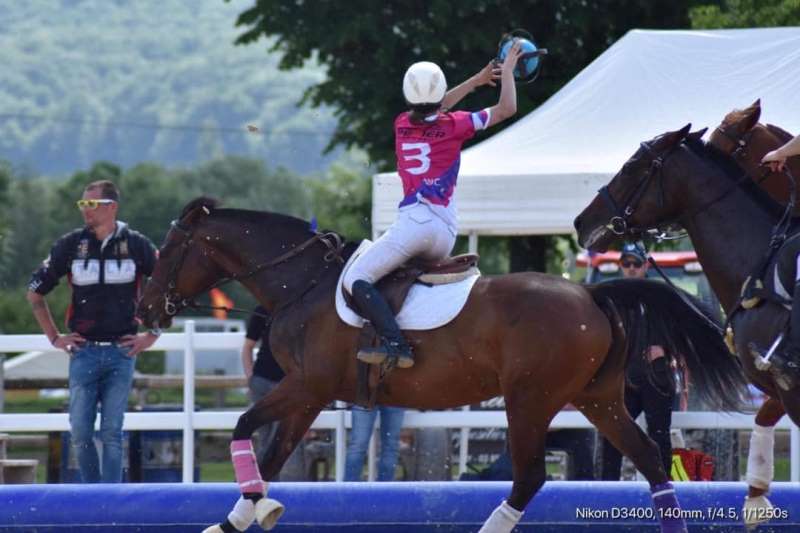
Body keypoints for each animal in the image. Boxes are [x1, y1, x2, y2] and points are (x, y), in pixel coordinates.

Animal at [137, 197, 748, 533]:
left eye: (166, 253)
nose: (144, 310)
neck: (302, 283)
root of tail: (590, 294)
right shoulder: (309, 395)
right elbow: (272, 450)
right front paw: (246, 515)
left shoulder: (306, 385)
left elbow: (244, 427)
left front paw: (247, 510)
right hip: (598, 399)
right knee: (649, 458)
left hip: (531, 401)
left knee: (530, 476)